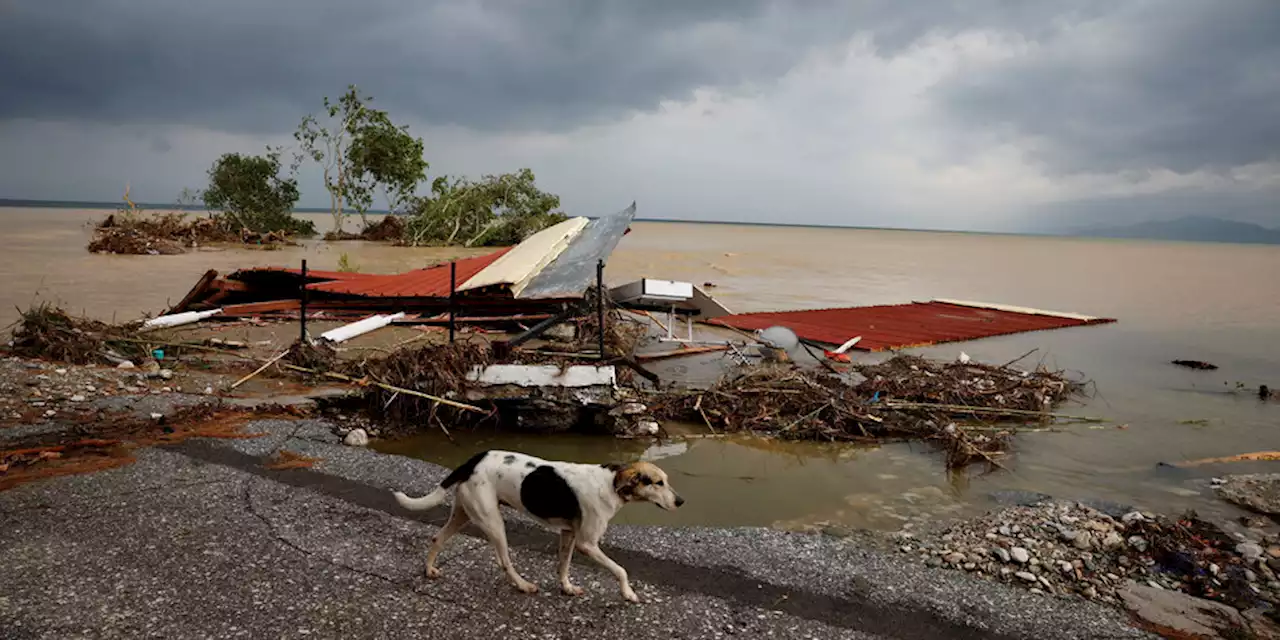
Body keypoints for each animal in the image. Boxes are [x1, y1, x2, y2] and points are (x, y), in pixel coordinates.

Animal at [394, 448, 686, 601]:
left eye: (666, 481)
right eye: (657, 483)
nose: (681, 501)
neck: (612, 484)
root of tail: (473, 460)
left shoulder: (569, 535)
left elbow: (563, 566)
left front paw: (566, 588)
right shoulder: (587, 543)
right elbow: (621, 570)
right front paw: (628, 593)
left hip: (463, 514)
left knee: (437, 539)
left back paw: (429, 570)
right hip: (493, 522)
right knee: (504, 561)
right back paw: (523, 585)